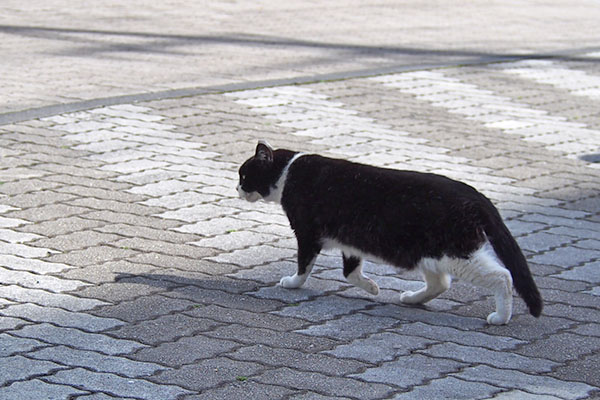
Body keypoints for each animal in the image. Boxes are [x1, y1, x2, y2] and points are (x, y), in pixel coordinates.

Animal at [237, 141, 540, 324]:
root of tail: (476, 195)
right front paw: (371, 287)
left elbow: (304, 264)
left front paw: (292, 283)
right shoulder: (351, 240)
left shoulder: (307, 232)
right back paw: (412, 299)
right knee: (440, 282)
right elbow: (350, 271)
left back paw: (500, 317)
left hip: (456, 251)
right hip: (427, 252)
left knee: (502, 276)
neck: (288, 173)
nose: (236, 188)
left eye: (244, 175)